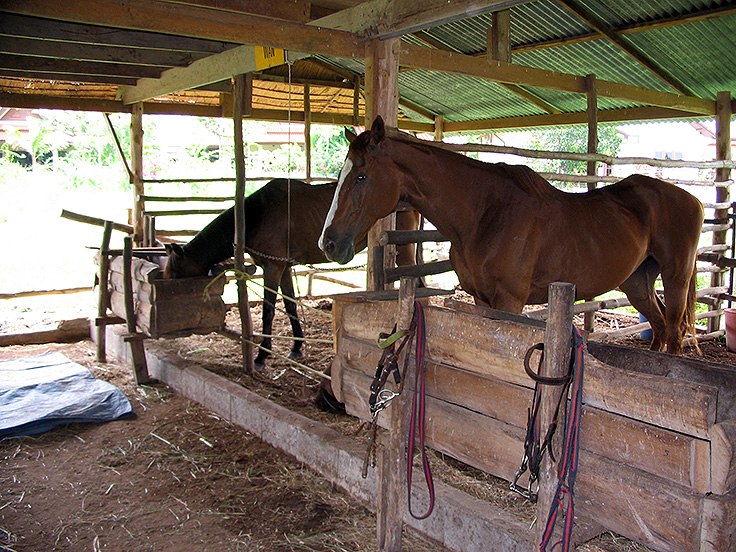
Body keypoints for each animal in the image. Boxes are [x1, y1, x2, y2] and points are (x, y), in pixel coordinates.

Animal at [164, 178, 420, 370]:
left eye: (176, 275)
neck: (258, 215)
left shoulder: (272, 268)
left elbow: (269, 311)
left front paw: (262, 355)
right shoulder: (284, 267)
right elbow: (290, 305)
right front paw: (297, 346)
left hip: (403, 249)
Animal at [320, 116, 705, 355]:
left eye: (361, 176)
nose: (329, 243)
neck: (486, 214)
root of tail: (693, 199)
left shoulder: (510, 301)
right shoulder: (481, 299)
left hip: (675, 278)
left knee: (673, 333)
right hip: (637, 282)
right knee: (658, 326)